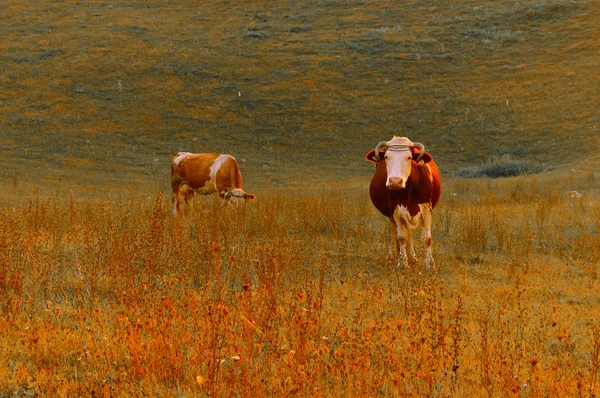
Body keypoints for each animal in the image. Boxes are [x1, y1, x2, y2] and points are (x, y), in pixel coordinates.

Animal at [364, 137, 442, 270]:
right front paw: (403, 263)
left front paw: (430, 265)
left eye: (409, 157)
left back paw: (413, 258)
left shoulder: (427, 208)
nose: (395, 181)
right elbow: (401, 237)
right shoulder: (395, 209)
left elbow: (427, 238)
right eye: (386, 156)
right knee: (394, 231)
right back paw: (393, 256)